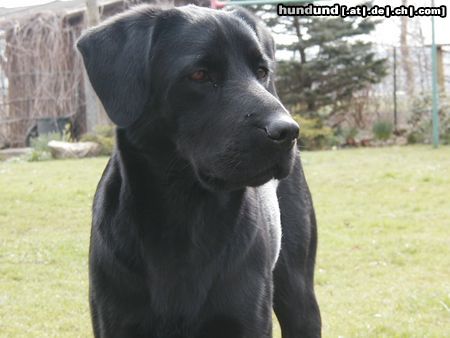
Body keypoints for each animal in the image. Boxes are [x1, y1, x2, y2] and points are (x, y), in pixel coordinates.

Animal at [77, 5, 320, 338]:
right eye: (200, 74)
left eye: (261, 71)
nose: (288, 132)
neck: (186, 215)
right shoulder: (116, 322)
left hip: (299, 296)